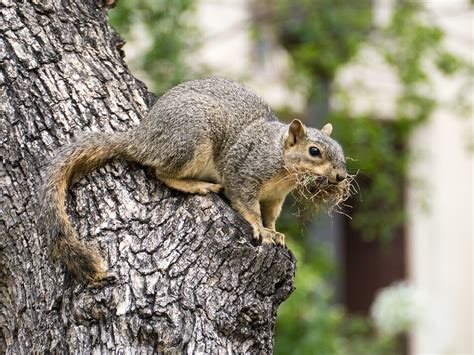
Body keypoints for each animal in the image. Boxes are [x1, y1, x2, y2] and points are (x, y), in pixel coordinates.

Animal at [39, 77, 346, 284]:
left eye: (341, 151)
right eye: (314, 151)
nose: (341, 176)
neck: (279, 159)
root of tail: (143, 138)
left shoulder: (276, 197)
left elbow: (271, 214)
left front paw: (275, 232)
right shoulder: (244, 174)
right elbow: (247, 205)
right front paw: (261, 229)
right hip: (192, 138)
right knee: (162, 172)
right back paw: (198, 185)